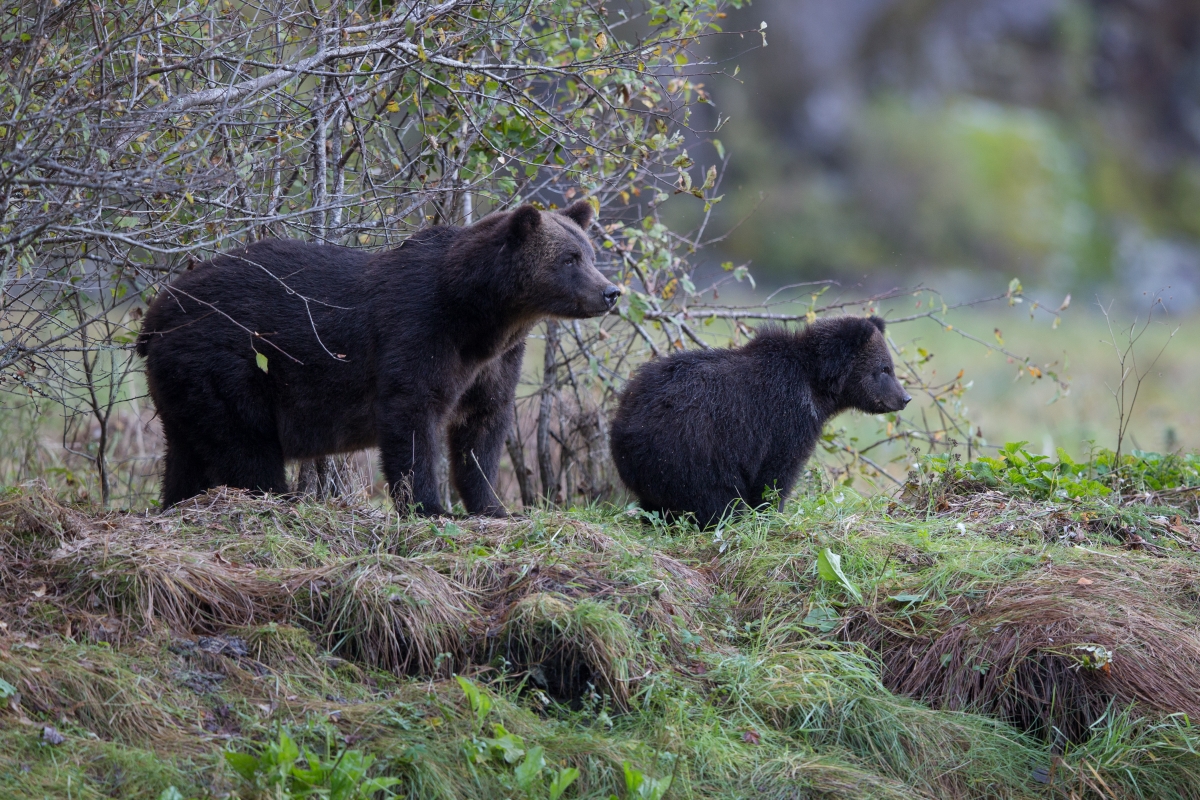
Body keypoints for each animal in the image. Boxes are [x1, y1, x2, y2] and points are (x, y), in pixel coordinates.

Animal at [138, 200, 619, 513]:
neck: (479, 315)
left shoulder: (495, 362)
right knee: (248, 446)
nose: (610, 291)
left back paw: (177, 501)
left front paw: (495, 507)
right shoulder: (418, 329)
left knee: (187, 453)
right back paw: (275, 498)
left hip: (183, 386)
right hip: (227, 366)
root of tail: (156, 313)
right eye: (570, 258)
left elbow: (483, 426)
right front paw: (430, 505)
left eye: (590, 253)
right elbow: (412, 416)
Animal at [609, 316, 907, 527]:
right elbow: (776, 474)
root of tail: (626, 421)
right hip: (693, 448)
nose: (905, 398)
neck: (817, 387)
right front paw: (771, 512)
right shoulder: (784, 420)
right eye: (884, 369)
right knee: (713, 496)